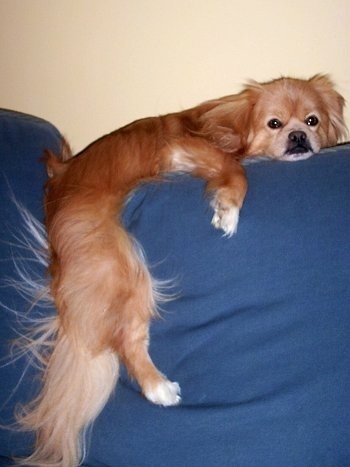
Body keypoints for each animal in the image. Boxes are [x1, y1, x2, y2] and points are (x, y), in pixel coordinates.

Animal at [17, 75, 346, 466]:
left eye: (312, 121)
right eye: (275, 124)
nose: (298, 137)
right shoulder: (185, 150)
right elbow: (236, 170)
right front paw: (227, 209)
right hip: (122, 267)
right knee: (124, 339)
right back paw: (158, 387)